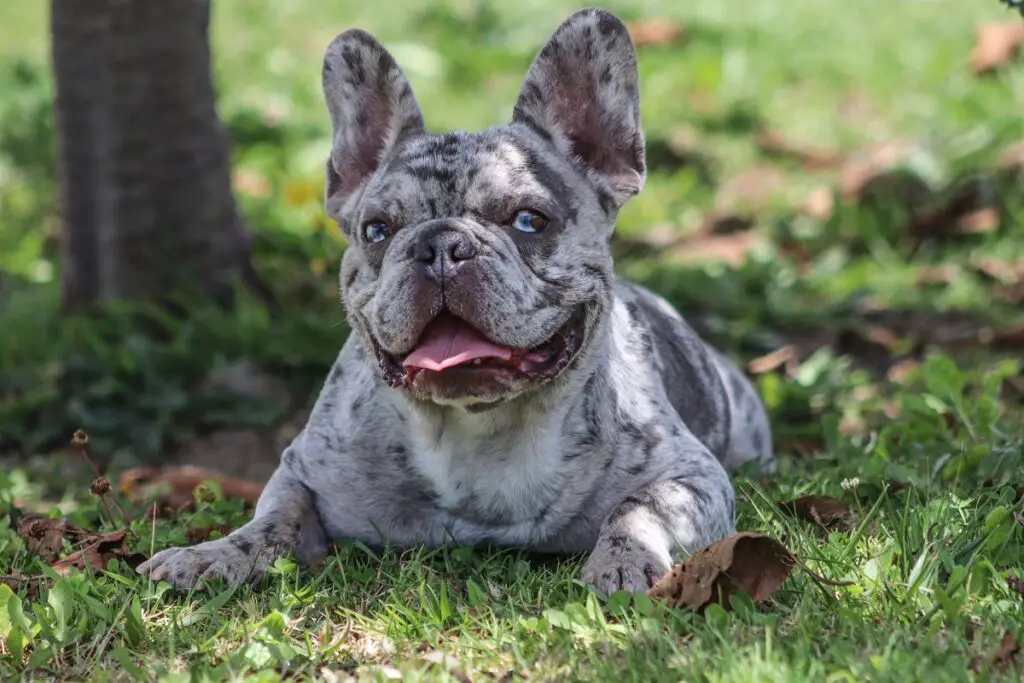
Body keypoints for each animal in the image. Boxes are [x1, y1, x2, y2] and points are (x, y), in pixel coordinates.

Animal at [138, 6, 774, 598]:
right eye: (377, 230)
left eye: (528, 220)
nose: (441, 245)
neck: (478, 430)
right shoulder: (303, 473)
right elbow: (270, 521)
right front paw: (212, 554)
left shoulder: (690, 476)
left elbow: (637, 509)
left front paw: (623, 561)